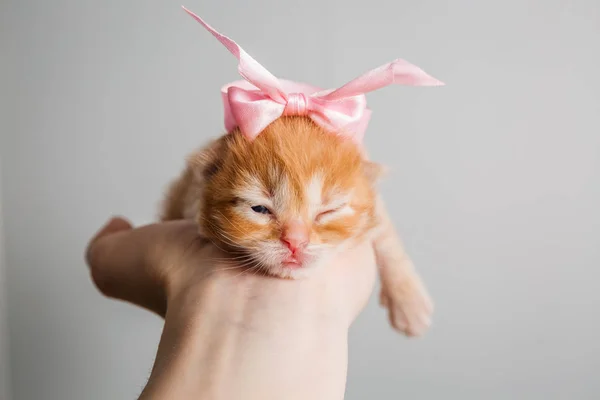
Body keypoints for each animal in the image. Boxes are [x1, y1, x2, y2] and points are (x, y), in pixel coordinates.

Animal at [161, 116, 432, 338]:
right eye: (259, 209)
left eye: (328, 211)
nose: (295, 242)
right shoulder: (186, 191)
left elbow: (386, 237)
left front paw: (410, 304)